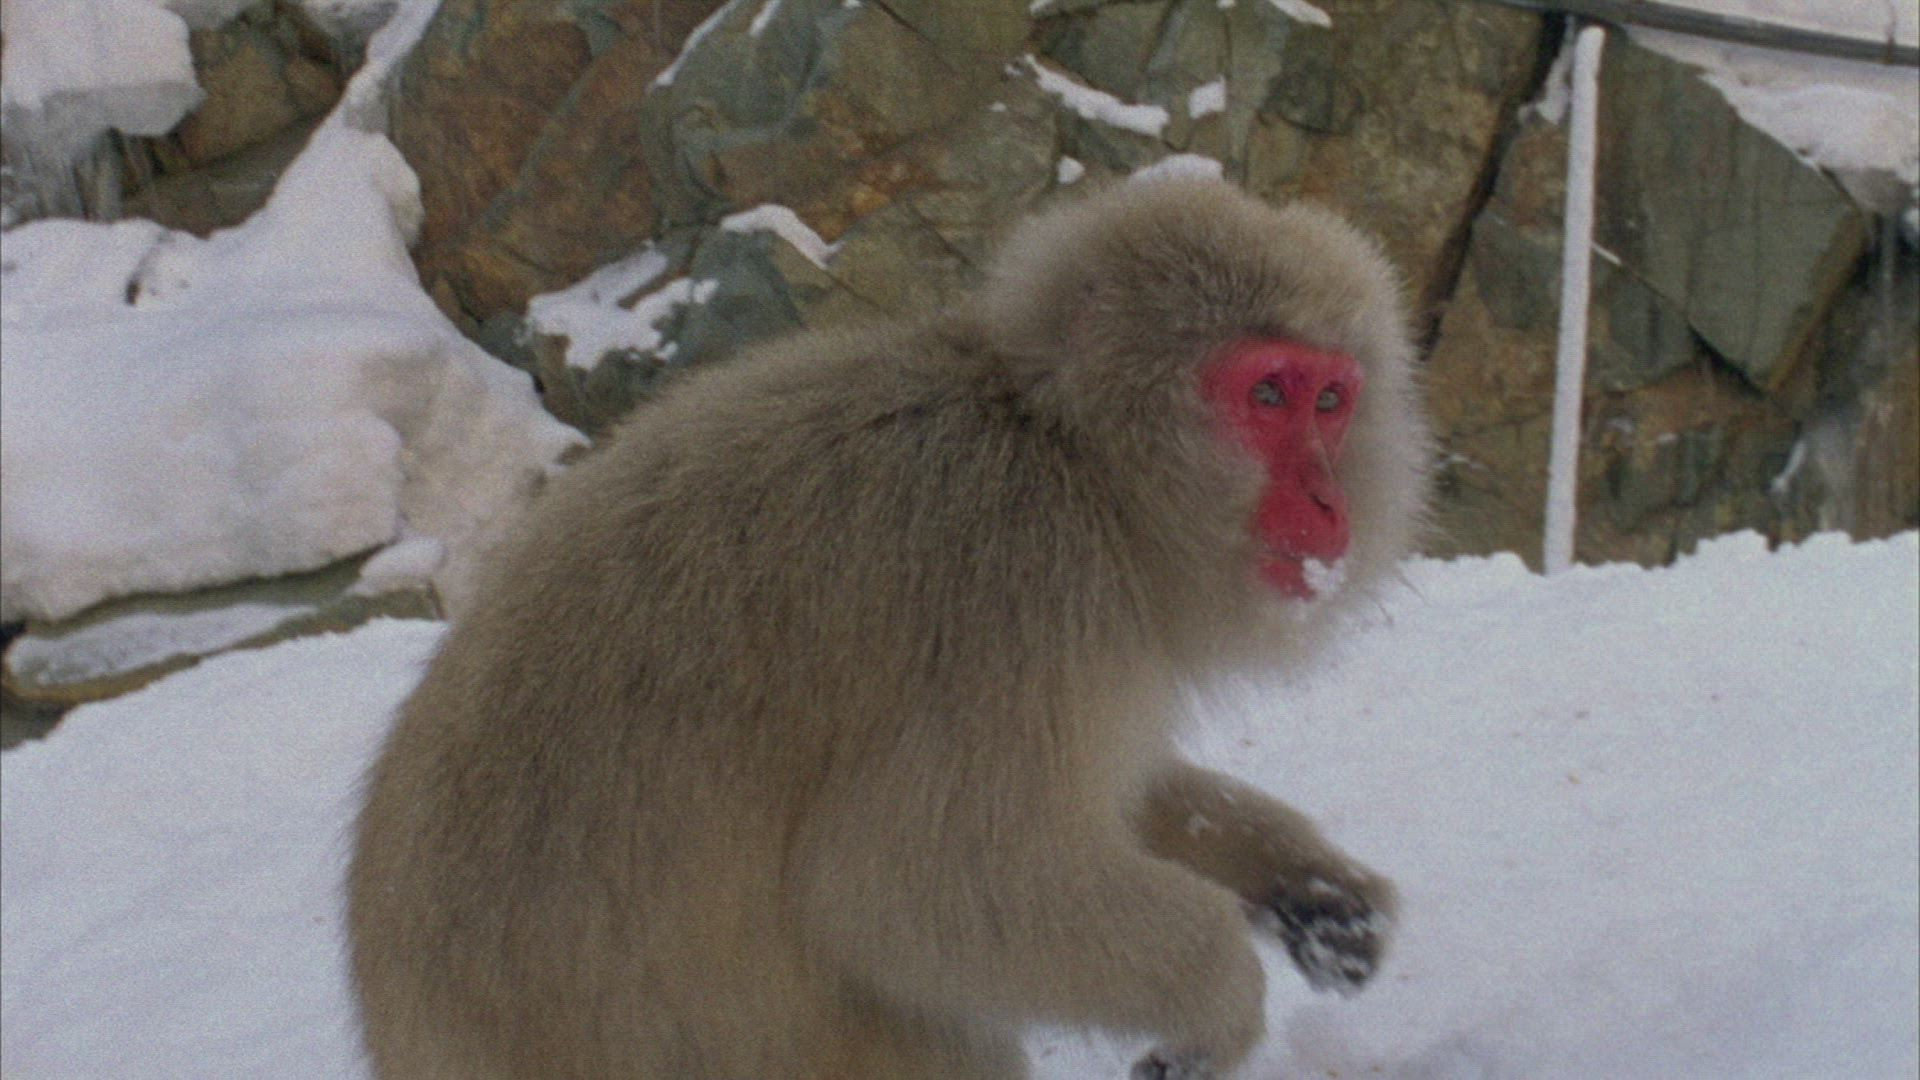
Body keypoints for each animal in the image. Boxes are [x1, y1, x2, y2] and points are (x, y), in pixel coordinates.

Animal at [346, 174, 1431, 1080]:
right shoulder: (1013, 591)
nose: (1330, 502)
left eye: (1333, 400)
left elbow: (1108, 796)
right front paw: (1219, 994)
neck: (1062, 452)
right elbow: (914, 890)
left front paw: (1299, 877)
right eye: (1269, 394)